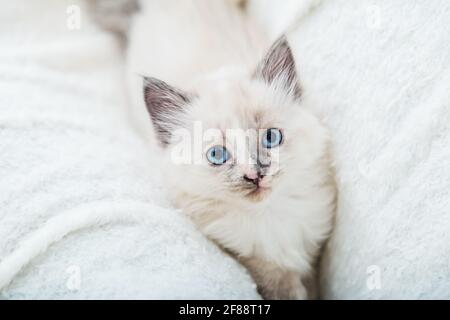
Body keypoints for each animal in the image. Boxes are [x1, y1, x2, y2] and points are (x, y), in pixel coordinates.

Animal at [125, 0, 336, 300]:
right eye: (218, 156)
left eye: (270, 138)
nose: (255, 175)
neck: (271, 218)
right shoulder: (250, 259)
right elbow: (279, 284)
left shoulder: (314, 250)